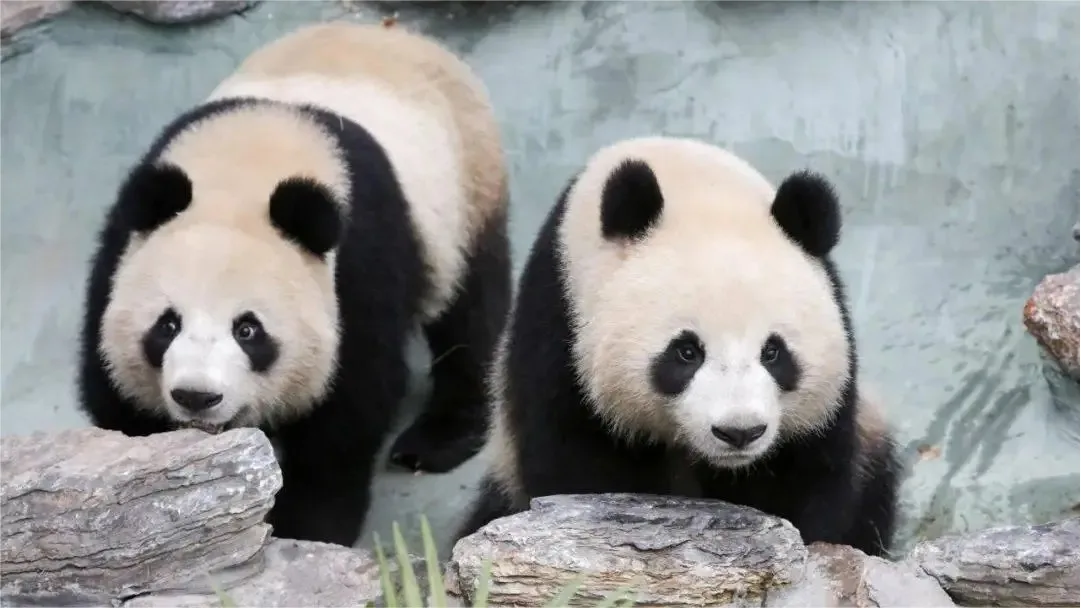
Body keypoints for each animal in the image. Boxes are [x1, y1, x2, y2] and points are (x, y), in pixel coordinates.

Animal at [78, 22, 511, 547]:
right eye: (167, 325)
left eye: (248, 330)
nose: (197, 397)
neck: (242, 173)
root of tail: (397, 32)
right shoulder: (123, 245)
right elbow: (115, 396)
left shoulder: (358, 263)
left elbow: (349, 404)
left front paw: (306, 528)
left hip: (466, 194)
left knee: (469, 311)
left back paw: (435, 441)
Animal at [455, 136, 902, 558]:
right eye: (687, 352)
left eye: (773, 352)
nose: (739, 431)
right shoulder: (561, 328)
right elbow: (575, 470)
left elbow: (808, 479)